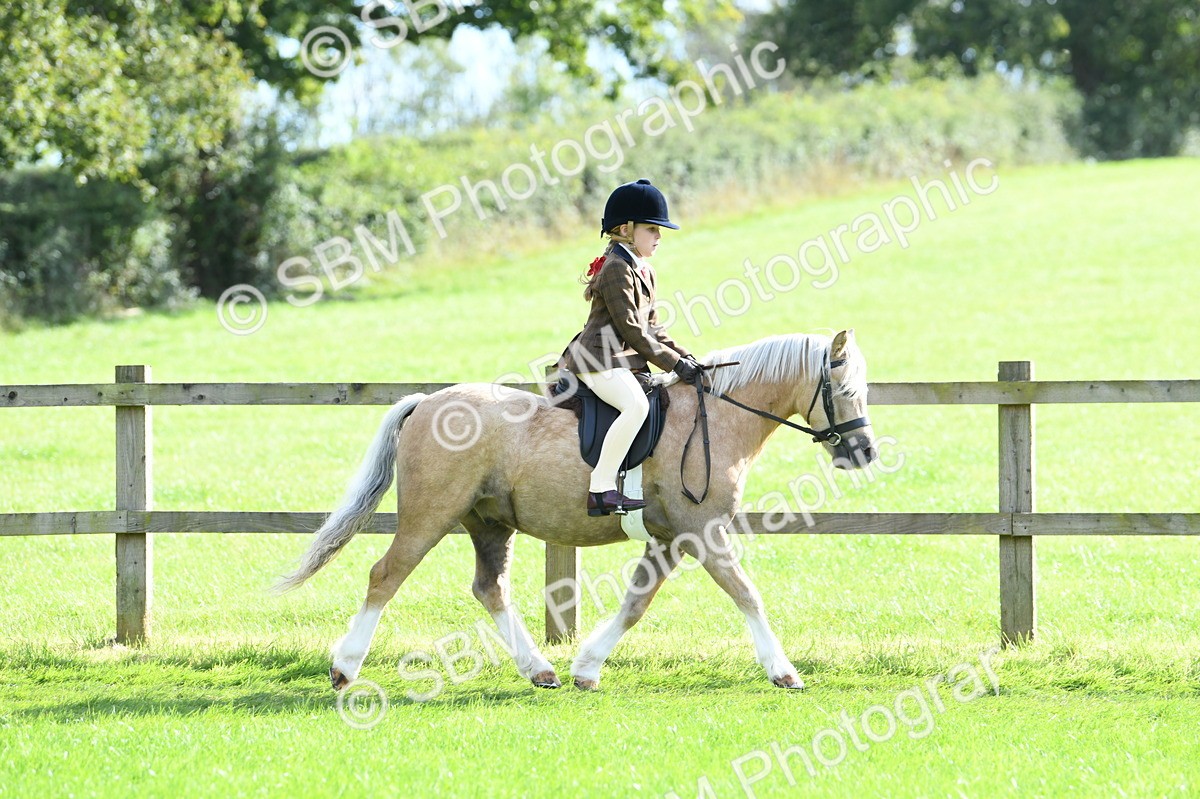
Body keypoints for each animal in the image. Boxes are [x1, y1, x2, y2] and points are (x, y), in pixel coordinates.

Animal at [272, 329, 877, 692]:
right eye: (846, 389)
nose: (864, 453)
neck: (716, 417)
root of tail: (427, 402)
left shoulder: (670, 539)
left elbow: (636, 603)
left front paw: (587, 668)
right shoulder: (702, 532)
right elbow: (747, 594)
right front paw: (784, 672)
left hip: (489, 523)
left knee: (489, 588)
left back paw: (540, 670)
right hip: (431, 516)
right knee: (386, 575)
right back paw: (345, 668)